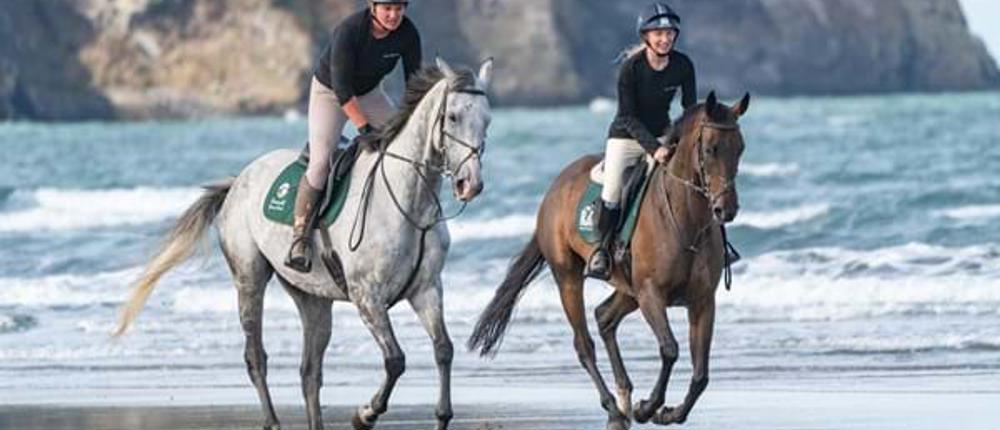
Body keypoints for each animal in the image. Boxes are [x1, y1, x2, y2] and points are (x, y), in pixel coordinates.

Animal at [114, 57, 495, 430]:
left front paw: (442, 414)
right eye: (453, 116)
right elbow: (395, 360)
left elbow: (443, 349)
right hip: (249, 278)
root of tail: (239, 180)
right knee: (256, 356)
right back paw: (272, 421)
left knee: (310, 370)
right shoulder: (367, 297)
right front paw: (364, 414)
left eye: (487, 120)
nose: (470, 184)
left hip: (313, 298)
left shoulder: (426, 289)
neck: (408, 202)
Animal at [468, 92, 750, 430]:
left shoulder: (702, 301)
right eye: (710, 149)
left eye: (740, 147)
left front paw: (669, 413)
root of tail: (554, 188)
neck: (686, 221)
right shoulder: (651, 294)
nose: (726, 209)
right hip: (569, 278)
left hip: (628, 289)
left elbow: (701, 375)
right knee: (584, 344)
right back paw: (615, 408)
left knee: (604, 317)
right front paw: (648, 407)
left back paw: (623, 398)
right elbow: (670, 349)